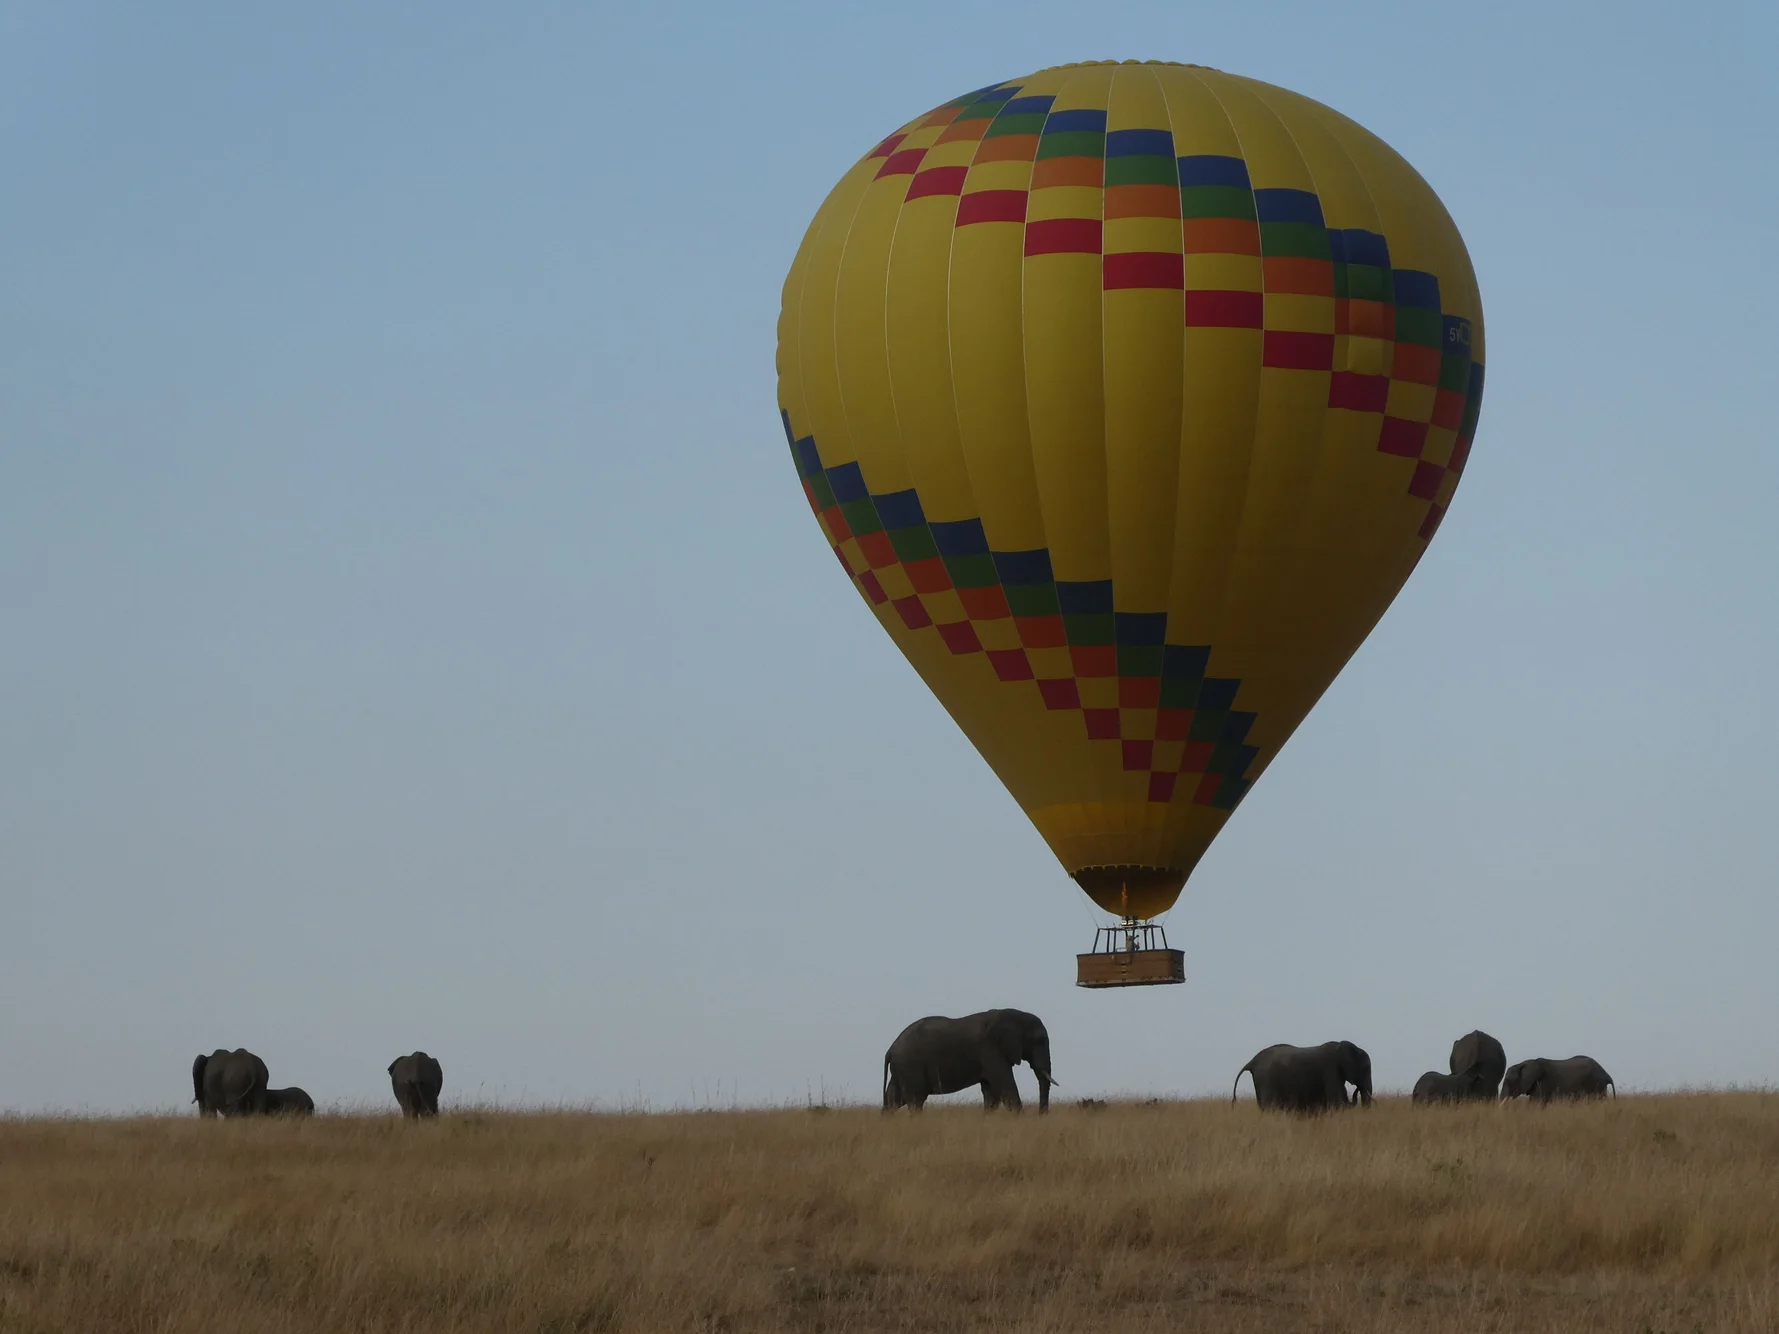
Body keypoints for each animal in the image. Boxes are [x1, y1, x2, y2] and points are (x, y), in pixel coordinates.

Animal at [883, 1009, 1053, 1113]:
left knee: (893, 1099)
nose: (1040, 1115)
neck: (1013, 1014)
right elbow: (1005, 1086)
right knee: (915, 1100)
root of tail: (890, 1050)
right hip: (910, 1065)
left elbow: (991, 1093)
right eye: (1040, 1040)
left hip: (902, 1069)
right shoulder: (991, 1050)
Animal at [1232, 1041, 1373, 1112]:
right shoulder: (1330, 1069)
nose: (1358, 1088)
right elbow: (1336, 1099)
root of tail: (1252, 1061)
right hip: (1267, 1079)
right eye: (1366, 1069)